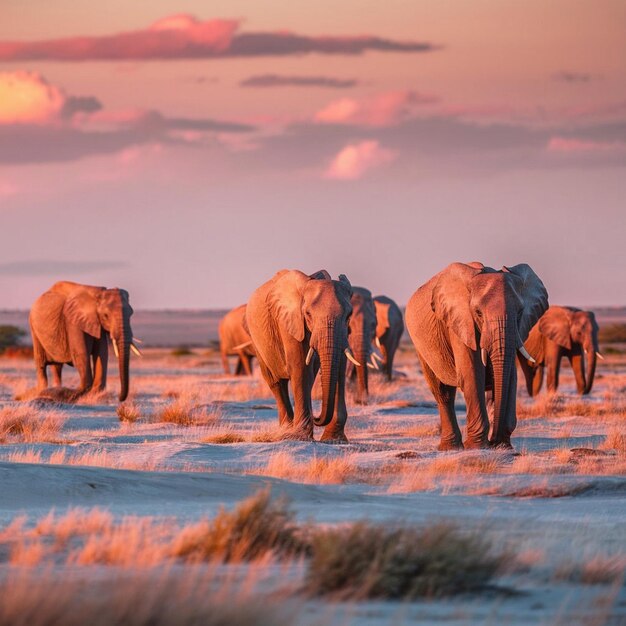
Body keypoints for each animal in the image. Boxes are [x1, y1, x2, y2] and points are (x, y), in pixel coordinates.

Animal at [244, 266, 354, 438]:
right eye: (307, 314)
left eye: (349, 314)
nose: (317, 417)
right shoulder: (290, 321)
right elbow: (300, 367)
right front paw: (301, 435)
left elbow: (340, 366)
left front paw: (334, 439)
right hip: (256, 338)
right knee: (276, 382)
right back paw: (286, 428)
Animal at [404, 262, 544, 448]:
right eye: (478, 313)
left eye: (520, 312)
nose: (494, 441)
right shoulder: (460, 322)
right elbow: (472, 373)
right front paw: (477, 446)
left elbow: (511, 376)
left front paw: (503, 445)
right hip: (421, 345)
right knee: (443, 392)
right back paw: (450, 448)